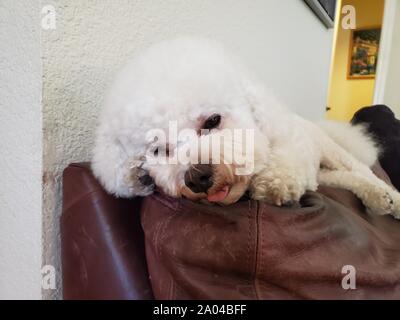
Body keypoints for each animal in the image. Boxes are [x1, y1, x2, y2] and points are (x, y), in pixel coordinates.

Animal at [91, 37, 400, 218]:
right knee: (344, 179)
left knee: (362, 171)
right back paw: (378, 198)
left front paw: (275, 182)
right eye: (158, 150)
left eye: (212, 121)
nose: (197, 178)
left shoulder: (291, 144)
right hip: (324, 175)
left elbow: (286, 163)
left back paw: (391, 198)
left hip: (331, 150)